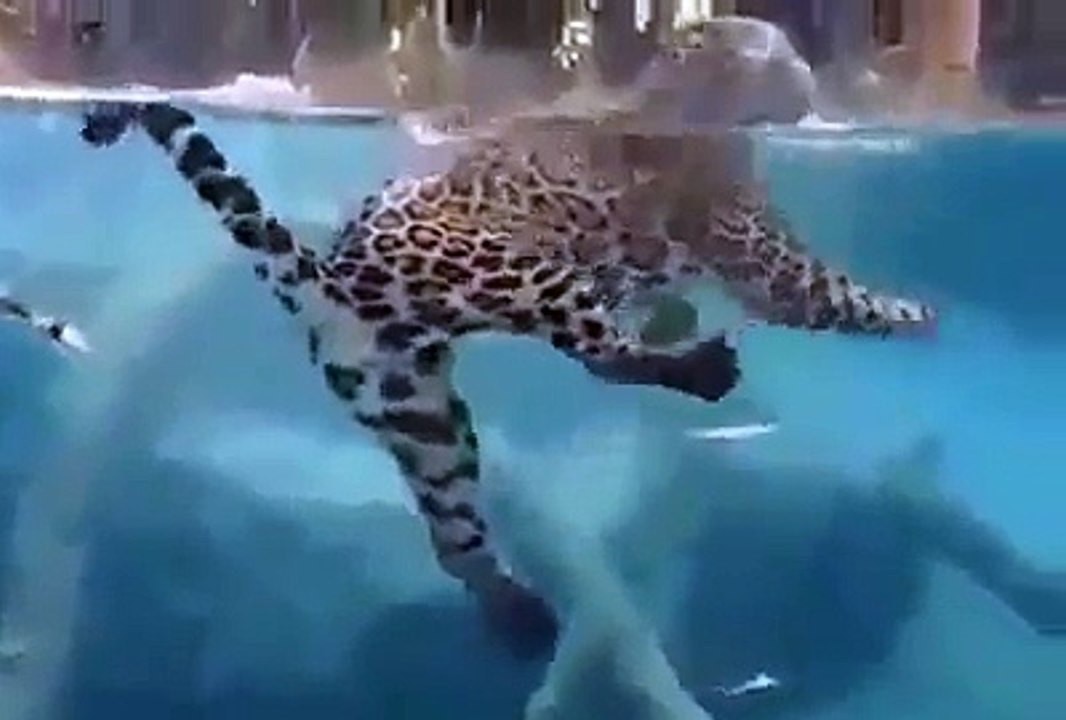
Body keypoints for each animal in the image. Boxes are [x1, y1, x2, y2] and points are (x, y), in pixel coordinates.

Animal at [78, 100, 935, 658]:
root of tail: (332, 278)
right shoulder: (761, 252)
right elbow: (834, 296)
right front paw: (919, 315)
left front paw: (675, 314)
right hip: (530, 276)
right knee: (601, 355)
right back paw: (703, 370)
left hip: (420, 414)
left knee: (455, 536)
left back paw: (522, 619)